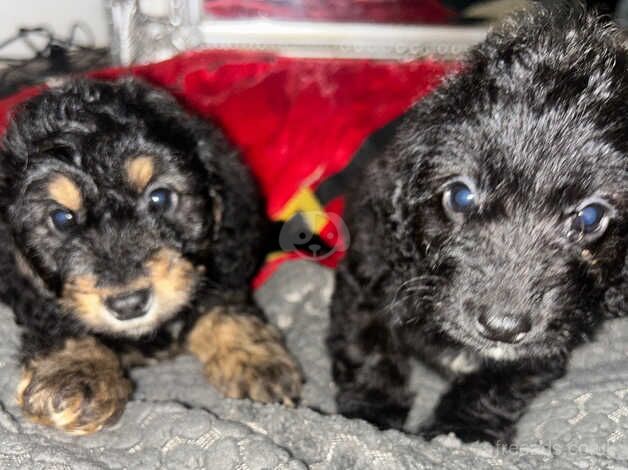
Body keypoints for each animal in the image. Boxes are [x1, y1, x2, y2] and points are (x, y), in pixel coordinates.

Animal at [0, 79, 302, 436]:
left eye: (160, 198)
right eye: (61, 219)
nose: (129, 304)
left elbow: (222, 303)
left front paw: (253, 357)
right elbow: (57, 322)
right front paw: (75, 373)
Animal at [328, 8, 628, 448]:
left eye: (590, 218)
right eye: (461, 196)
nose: (502, 328)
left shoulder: (549, 337)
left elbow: (500, 379)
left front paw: (463, 430)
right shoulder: (366, 275)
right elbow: (368, 347)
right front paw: (370, 417)